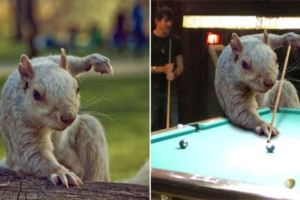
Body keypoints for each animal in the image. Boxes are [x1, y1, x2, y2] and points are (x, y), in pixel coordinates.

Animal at [0, 49, 113, 187]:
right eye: (36, 94)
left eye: (77, 88)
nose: (69, 118)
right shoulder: (19, 124)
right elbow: (33, 154)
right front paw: (61, 173)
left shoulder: (48, 61)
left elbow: (66, 61)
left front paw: (95, 60)